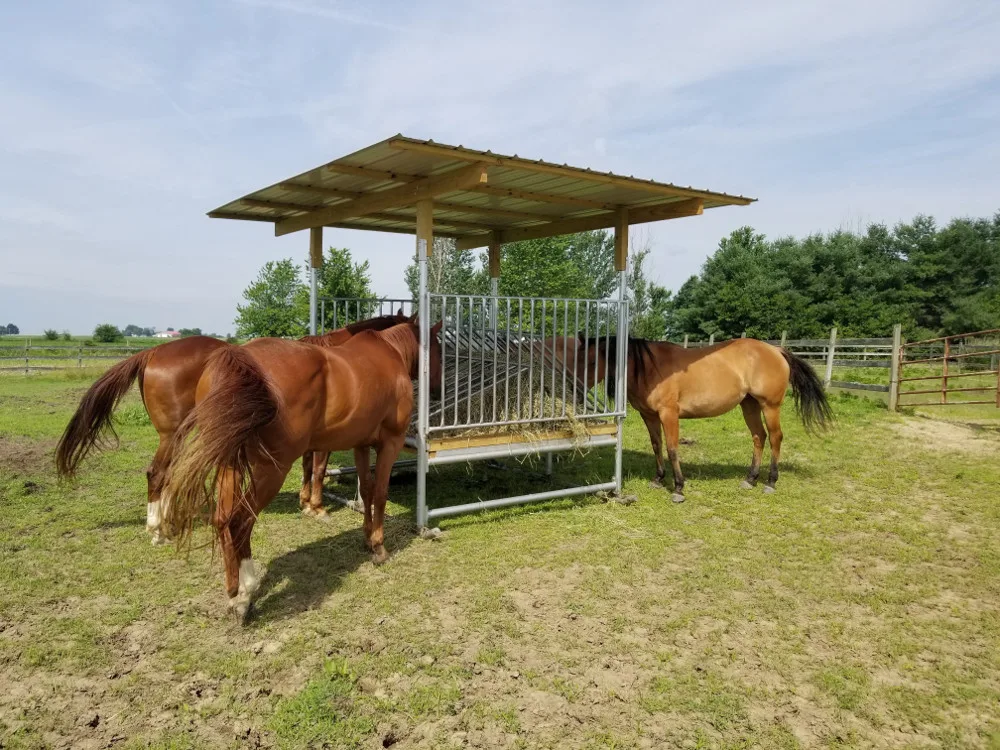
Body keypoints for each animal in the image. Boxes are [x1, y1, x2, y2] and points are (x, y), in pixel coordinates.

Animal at [53, 312, 406, 540]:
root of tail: (152, 352)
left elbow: (307, 466)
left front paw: (306, 502)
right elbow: (317, 468)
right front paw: (316, 507)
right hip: (174, 434)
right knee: (158, 473)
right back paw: (157, 527)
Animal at [164, 324, 442, 624]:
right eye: (439, 345)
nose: (437, 390)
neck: (389, 354)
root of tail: (238, 359)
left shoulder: (361, 444)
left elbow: (366, 491)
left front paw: (368, 537)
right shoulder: (390, 443)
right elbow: (379, 493)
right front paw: (379, 547)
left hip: (230, 466)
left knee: (223, 520)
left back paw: (233, 593)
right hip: (270, 470)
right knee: (241, 521)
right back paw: (245, 594)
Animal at [576, 338, 832, 502]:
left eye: (592, 362)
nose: (576, 390)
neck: (650, 368)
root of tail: (776, 350)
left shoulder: (669, 414)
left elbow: (672, 449)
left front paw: (678, 488)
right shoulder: (648, 415)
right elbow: (657, 445)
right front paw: (658, 479)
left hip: (770, 406)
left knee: (776, 438)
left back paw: (770, 482)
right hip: (749, 405)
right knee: (759, 437)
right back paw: (750, 479)